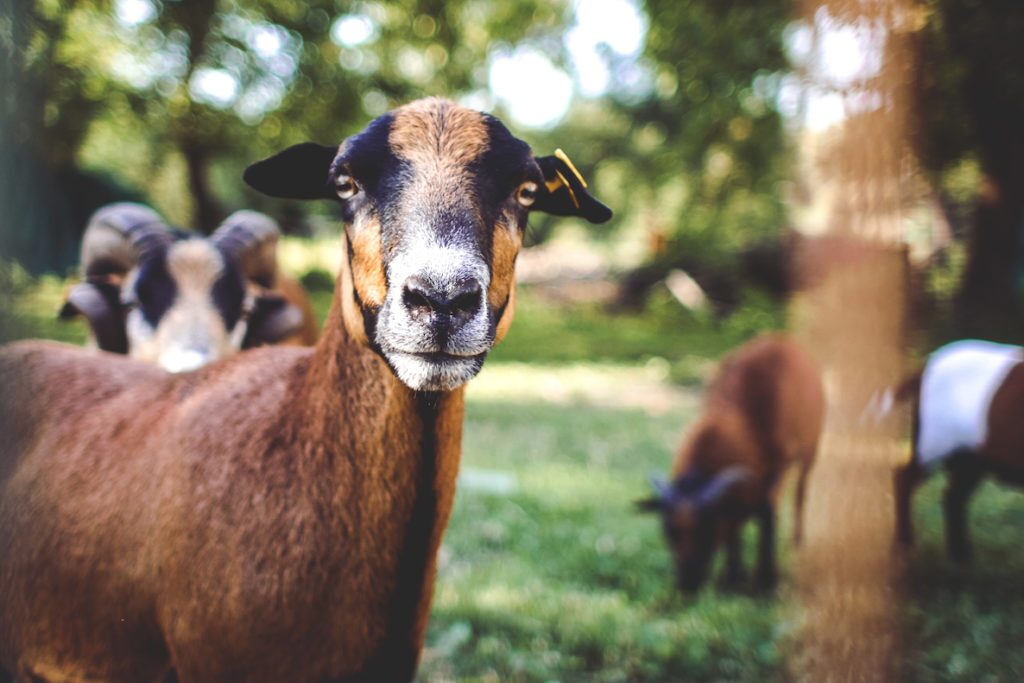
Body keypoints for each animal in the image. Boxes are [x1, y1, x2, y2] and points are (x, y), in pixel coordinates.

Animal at [636, 335, 825, 592]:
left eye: (706, 529)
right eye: (669, 532)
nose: (686, 585)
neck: (743, 422)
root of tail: (780, 338)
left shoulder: (773, 475)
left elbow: (767, 519)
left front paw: (766, 581)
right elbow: (734, 533)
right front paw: (733, 578)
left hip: (810, 451)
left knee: (800, 494)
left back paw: (797, 541)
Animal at [892, 339, 1024, 563]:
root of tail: (925, 366)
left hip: (971, 455)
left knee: (954, 496)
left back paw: (961, 556)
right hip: (934, 440)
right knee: (904, 478)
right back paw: (905, 544)